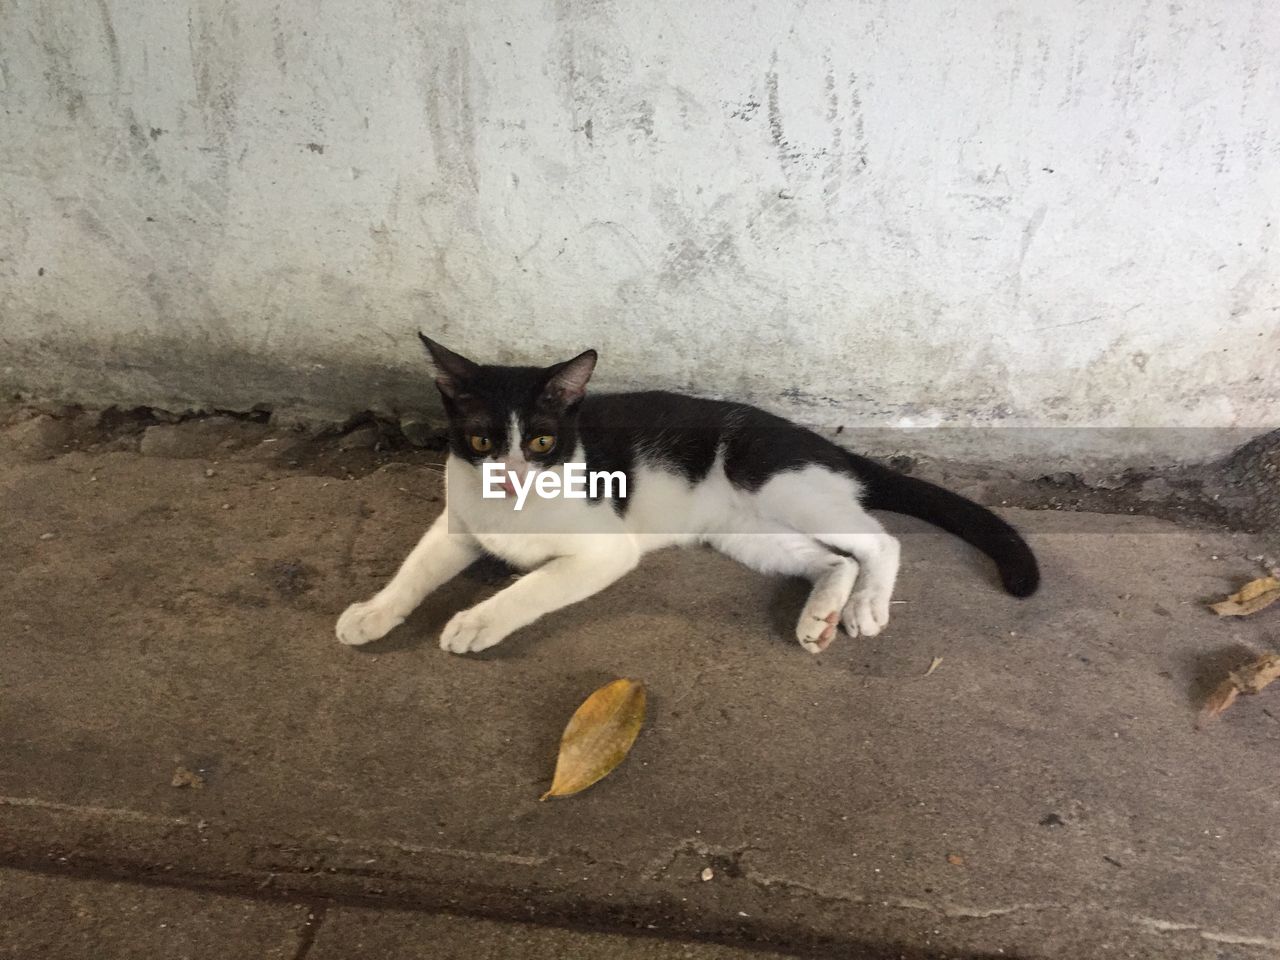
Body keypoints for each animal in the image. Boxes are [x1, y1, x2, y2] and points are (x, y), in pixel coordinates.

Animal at [335, 335, 1034, 660]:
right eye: (481, 439)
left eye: (540, 441)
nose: (507, 478)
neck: (512, 512)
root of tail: (813, 438)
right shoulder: (459, 520)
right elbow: (416, 566)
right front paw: (374, 611)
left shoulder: (605, 551)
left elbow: (531, 586)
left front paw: (478, 620)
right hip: (744, 533)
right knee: (830, 557)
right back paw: (821, 613)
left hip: (781, 481)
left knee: (878, 539)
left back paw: (864, 606)